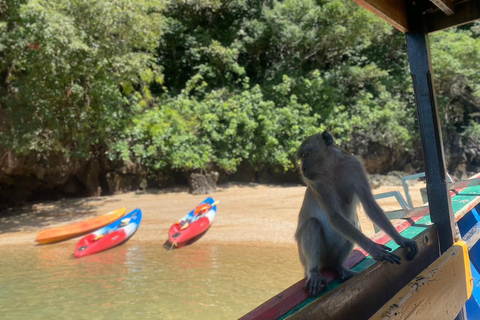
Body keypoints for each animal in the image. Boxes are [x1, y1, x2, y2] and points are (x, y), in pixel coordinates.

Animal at [292, 131, 416, 296]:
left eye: (306, 154)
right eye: (301, 157)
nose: (303, 168)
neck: (332, 168)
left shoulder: (354, 166)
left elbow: (370, 205)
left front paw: (400, 239)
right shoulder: (316, 184)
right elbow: (335, 217)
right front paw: (374, 249)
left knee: (352, 224)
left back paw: (338, 266)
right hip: (307, 259)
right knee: (313, 224)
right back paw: (314, 272)